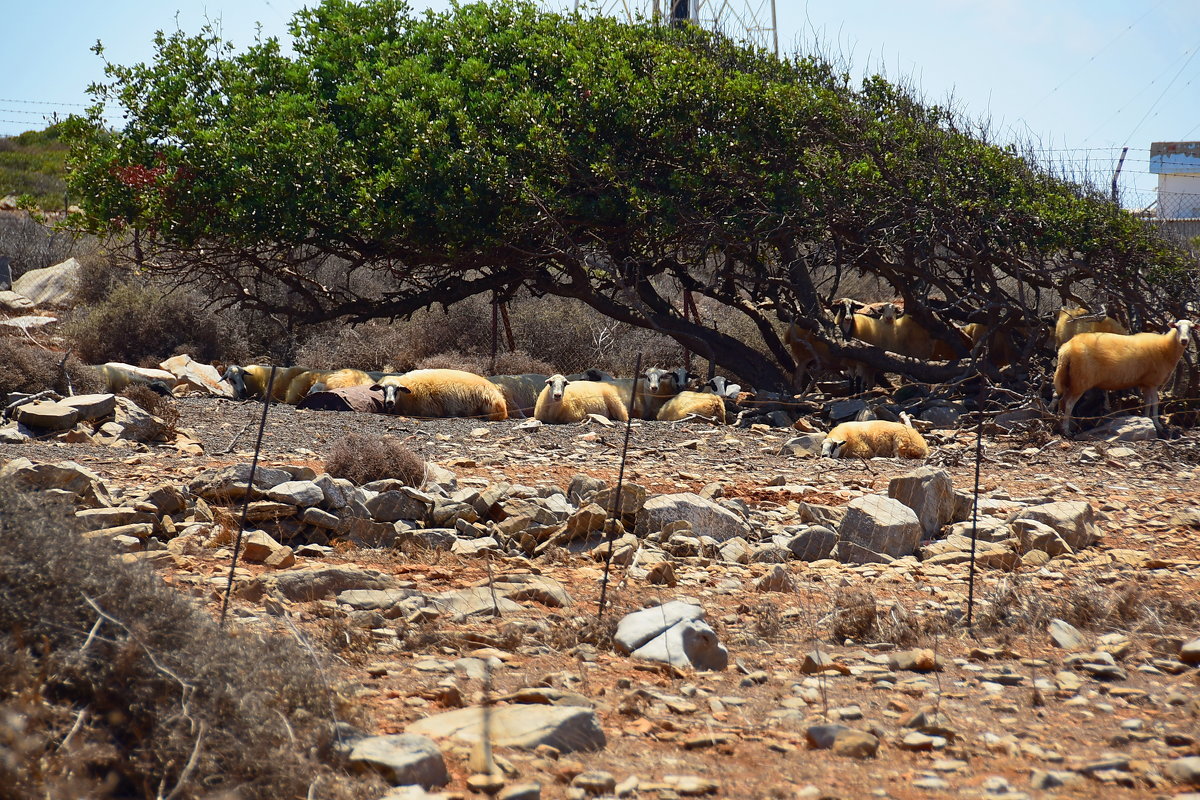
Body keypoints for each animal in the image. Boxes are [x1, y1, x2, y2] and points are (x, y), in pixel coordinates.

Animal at [1051, 316, 1190, 434]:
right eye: (1177, 327)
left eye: (1191, 329)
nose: (1184, 341)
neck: (1166, 347)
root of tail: (1066, 349)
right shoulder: (1153, 382)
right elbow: (1154, 402)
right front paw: (1157, 424)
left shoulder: (1145, 382)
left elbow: (1147, 402)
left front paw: (1147, 419)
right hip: (1080, 381)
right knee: (1069, 404)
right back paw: (1066, 429)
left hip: (1069, 379)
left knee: (1062, 401)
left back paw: (1060, 423)